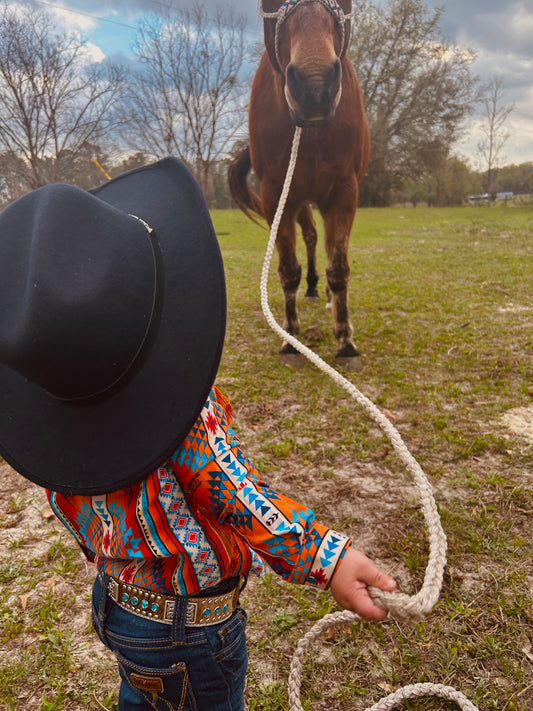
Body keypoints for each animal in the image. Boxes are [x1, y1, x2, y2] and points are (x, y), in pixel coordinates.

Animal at [227, 0, 368, 368]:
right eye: (266, 3)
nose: (315, 87)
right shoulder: (277, 194)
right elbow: (289, 269)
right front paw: (291, 338)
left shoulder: (345, 191)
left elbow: (339, 267)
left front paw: (345, 341)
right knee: (311, 236)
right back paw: (313, 288)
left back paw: (329, 297)